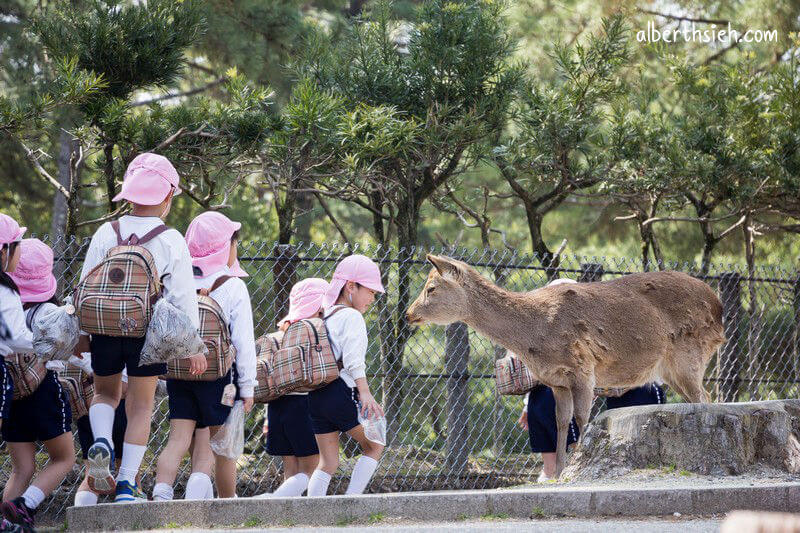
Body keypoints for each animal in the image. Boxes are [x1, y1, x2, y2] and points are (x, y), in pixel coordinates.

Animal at [406, 254, 724, 474]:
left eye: (431, 288)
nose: (409, 313)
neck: (533, 335)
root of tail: (719, 308)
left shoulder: (583, 367)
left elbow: (582, 418)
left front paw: (579, 461)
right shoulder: (556, 380)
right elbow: (561, 421)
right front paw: (559, 470)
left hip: (689, 354)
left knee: (704, 398)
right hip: (671, 370)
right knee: (703, 397)